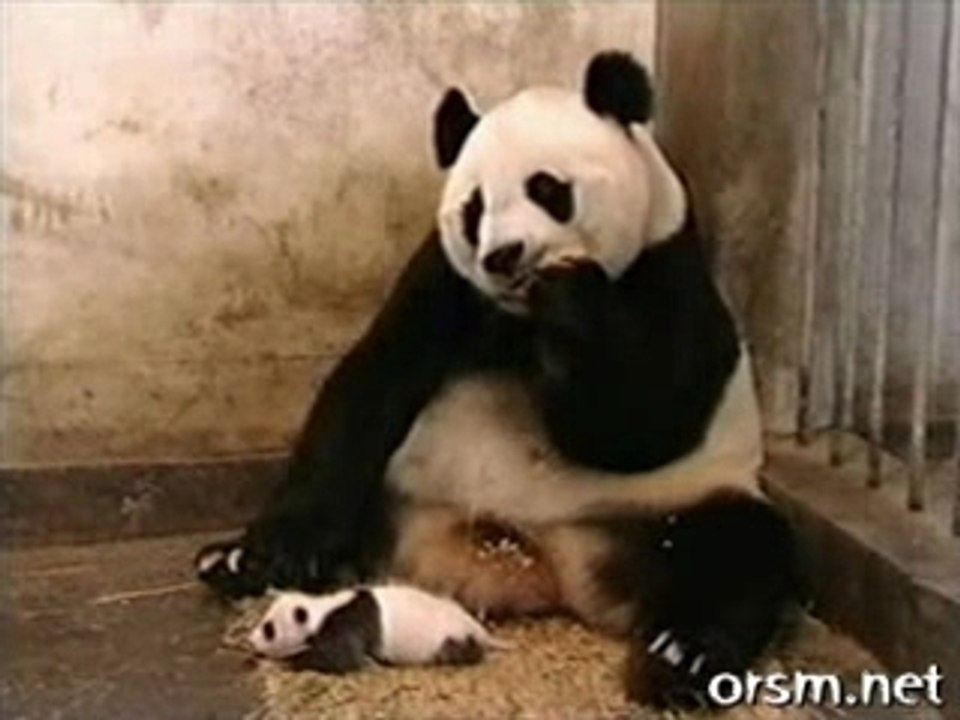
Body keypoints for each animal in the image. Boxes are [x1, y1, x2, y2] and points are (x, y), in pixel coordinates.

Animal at [196, 51, 798, 707]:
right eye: (475, 208)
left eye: (548, 189)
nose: (504, 256)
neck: (520, 319)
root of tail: (538, 566)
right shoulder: (444, 281)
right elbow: (372, 383)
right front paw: (278, 552)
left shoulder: (668, 269)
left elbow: (642, 425)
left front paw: (573, 303)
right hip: (400, 490)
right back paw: (235, 564)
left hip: (668, 505)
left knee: (739, 552)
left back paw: (679, 656)